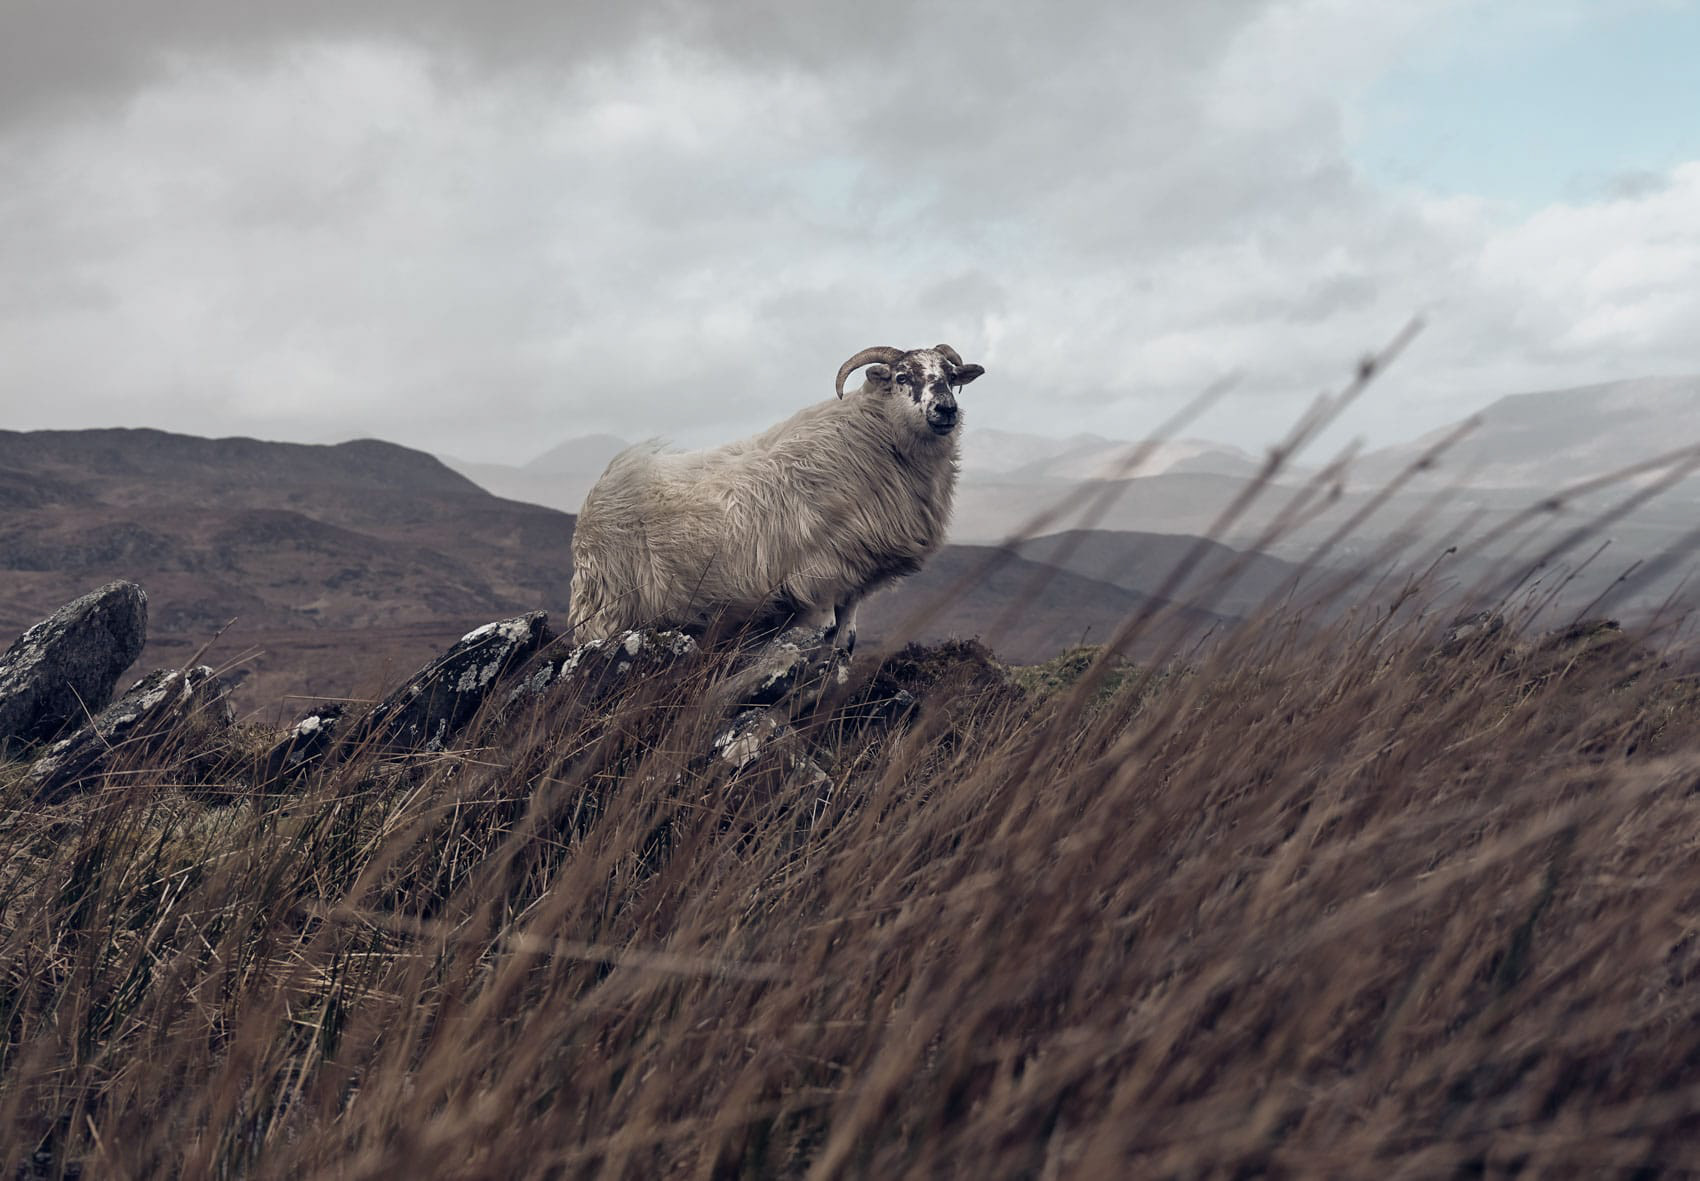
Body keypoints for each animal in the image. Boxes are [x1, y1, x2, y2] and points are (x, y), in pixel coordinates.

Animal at [568, 344, 985, 654]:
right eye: (902, 377)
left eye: (950, 377)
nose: (946, 409)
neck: (872, 439)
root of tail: (602, 485)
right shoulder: (817, 577)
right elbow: (819, 639)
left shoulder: (852, 580)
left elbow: (846, 643)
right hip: (606, 603)